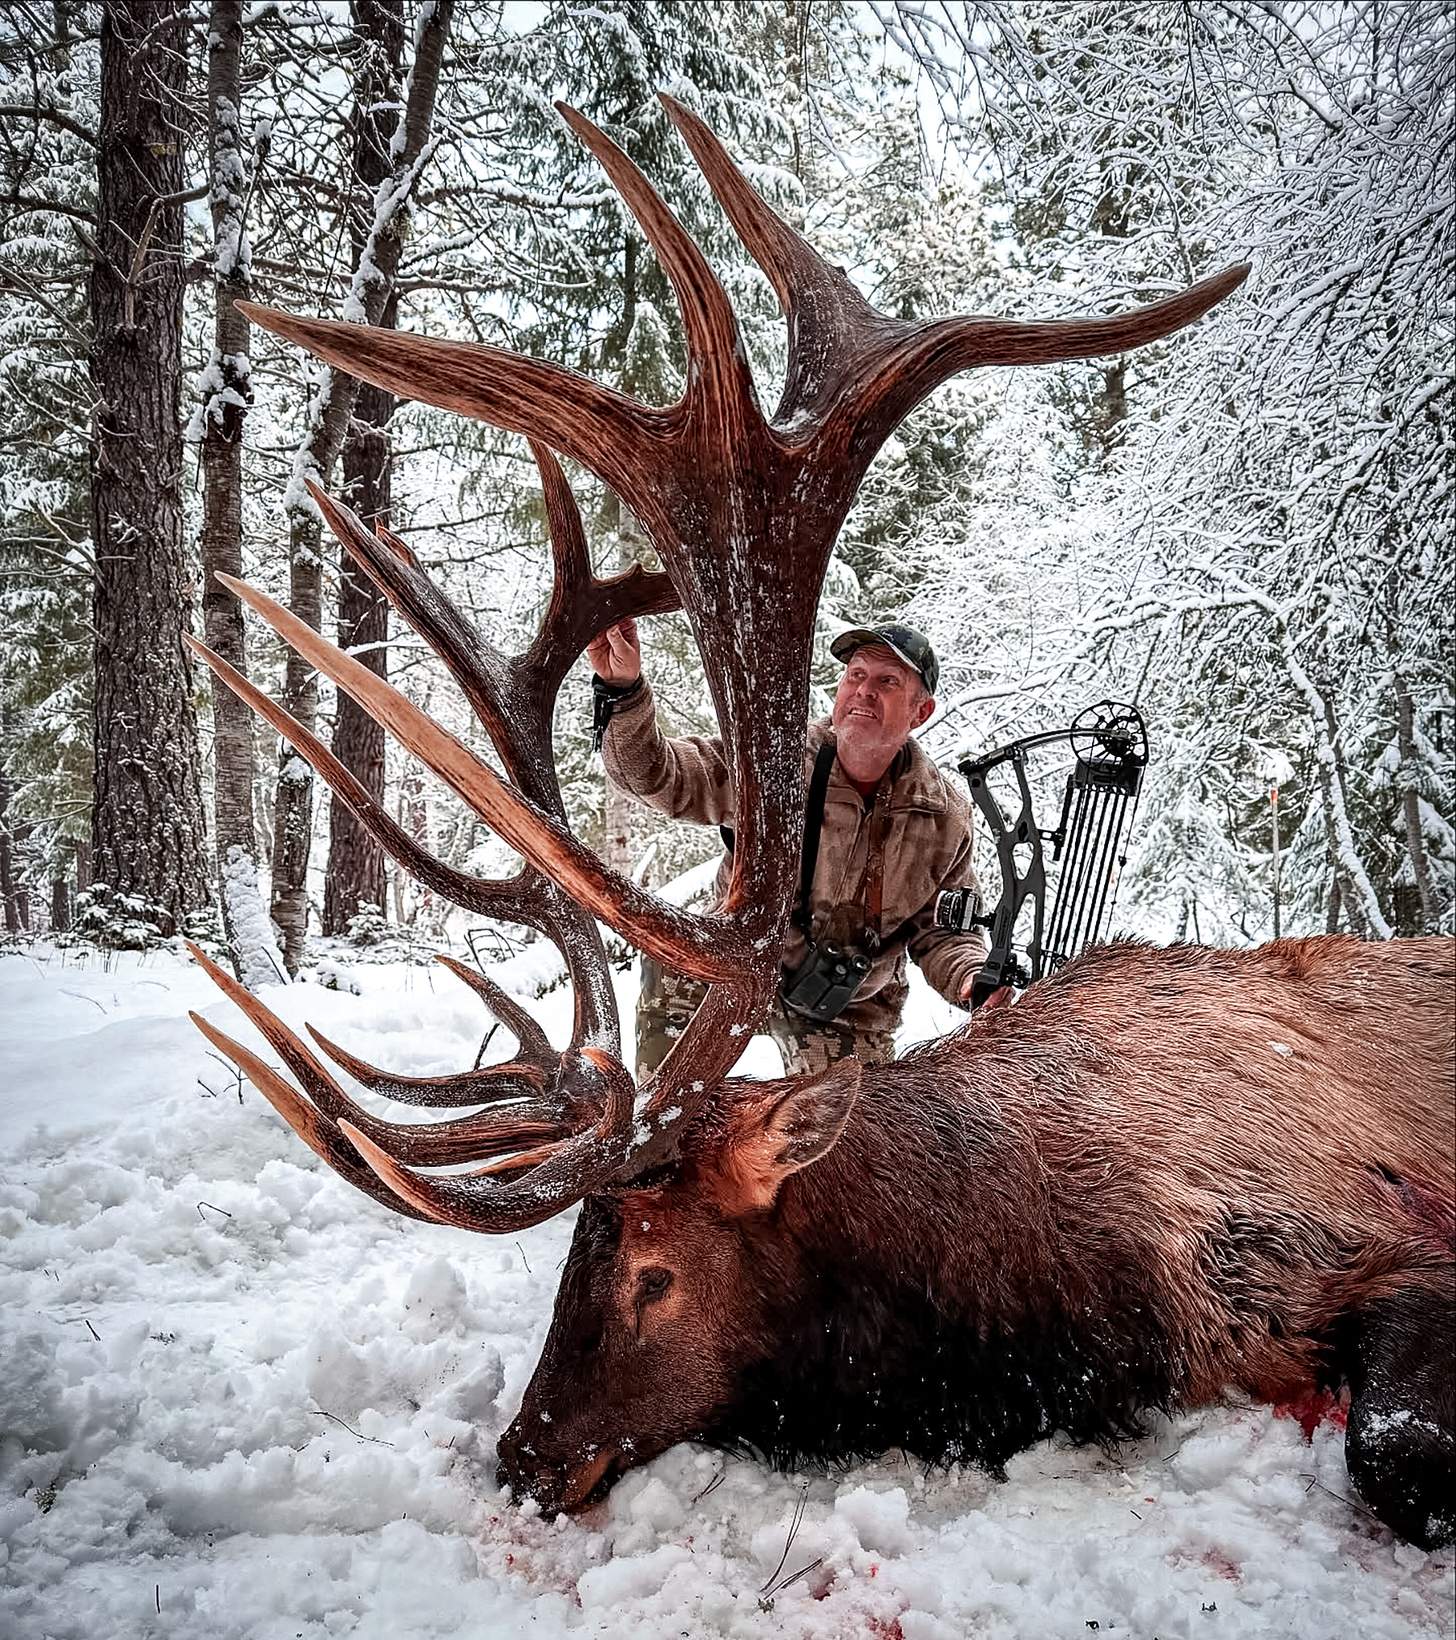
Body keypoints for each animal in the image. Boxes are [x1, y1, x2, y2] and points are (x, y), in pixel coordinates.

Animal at [182, 90, 1455, 1548]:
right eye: (571, 1258)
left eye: (656, 1271)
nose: (523, 1456)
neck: (1073, 1293)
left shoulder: (1382, 1226)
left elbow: (1398, 1450)